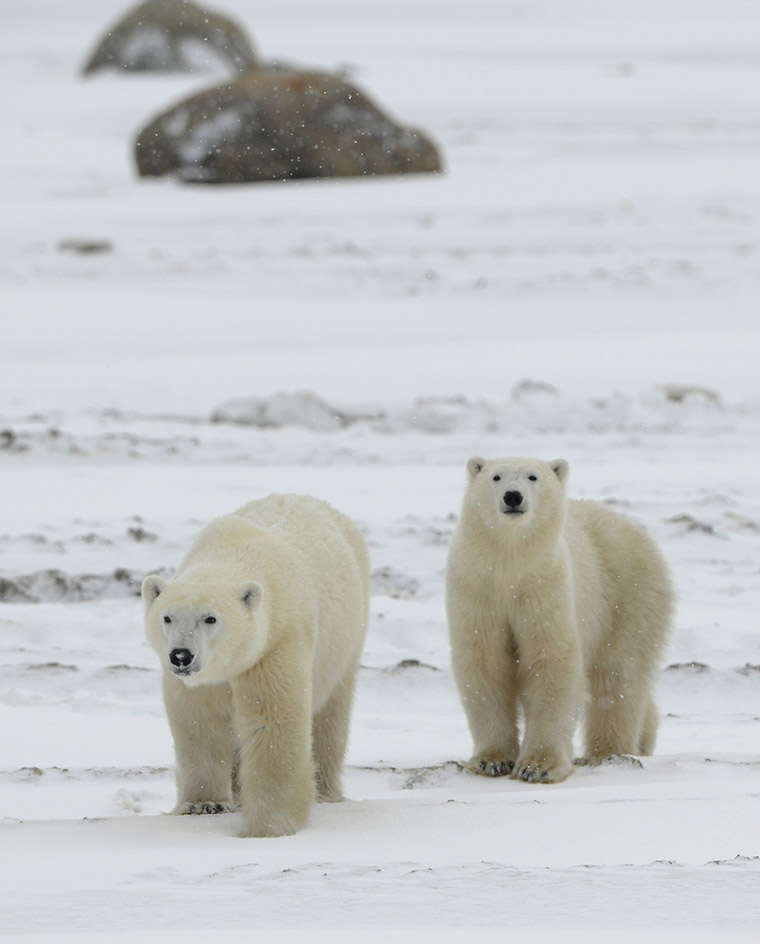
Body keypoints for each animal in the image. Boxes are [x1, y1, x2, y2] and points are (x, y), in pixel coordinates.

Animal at [144, 490, 370, 836]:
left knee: (330, 718)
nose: (181, 655)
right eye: (167, 617)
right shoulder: (198, 681)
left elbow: (271, 722)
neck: (235, 553)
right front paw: (204, 804)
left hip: (345, 643)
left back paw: (325, 791)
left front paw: (268, 825)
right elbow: (199, 721)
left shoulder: (276, 645)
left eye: (210, 618)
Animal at [448, 456, 672, 780]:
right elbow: (485, 661)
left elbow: (551, 660)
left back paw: (606, 752)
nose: (512, 496)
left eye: (532, 477)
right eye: (496, 477)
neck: (509, 562)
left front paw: (538, 767)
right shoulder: (477, 588)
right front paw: (491, 761)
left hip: (628, 597)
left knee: (618, 677)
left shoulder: (547, 585)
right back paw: (642, 741)